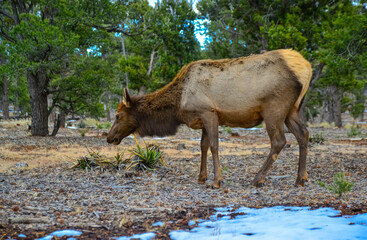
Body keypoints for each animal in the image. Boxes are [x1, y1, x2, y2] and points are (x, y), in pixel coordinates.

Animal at [108, 49, 312, 189]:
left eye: (118, 115)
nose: (109, 137)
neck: (178, 104)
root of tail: (306, 68)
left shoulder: (209, 112)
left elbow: (214, 145)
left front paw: (216, 180)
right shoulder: (203, 117)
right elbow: (203, 145)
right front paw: (202, 177)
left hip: (274, 109)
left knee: (279, 141)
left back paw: (258, 178)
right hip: (292, 110)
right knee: (303, 133)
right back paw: (300, 178)